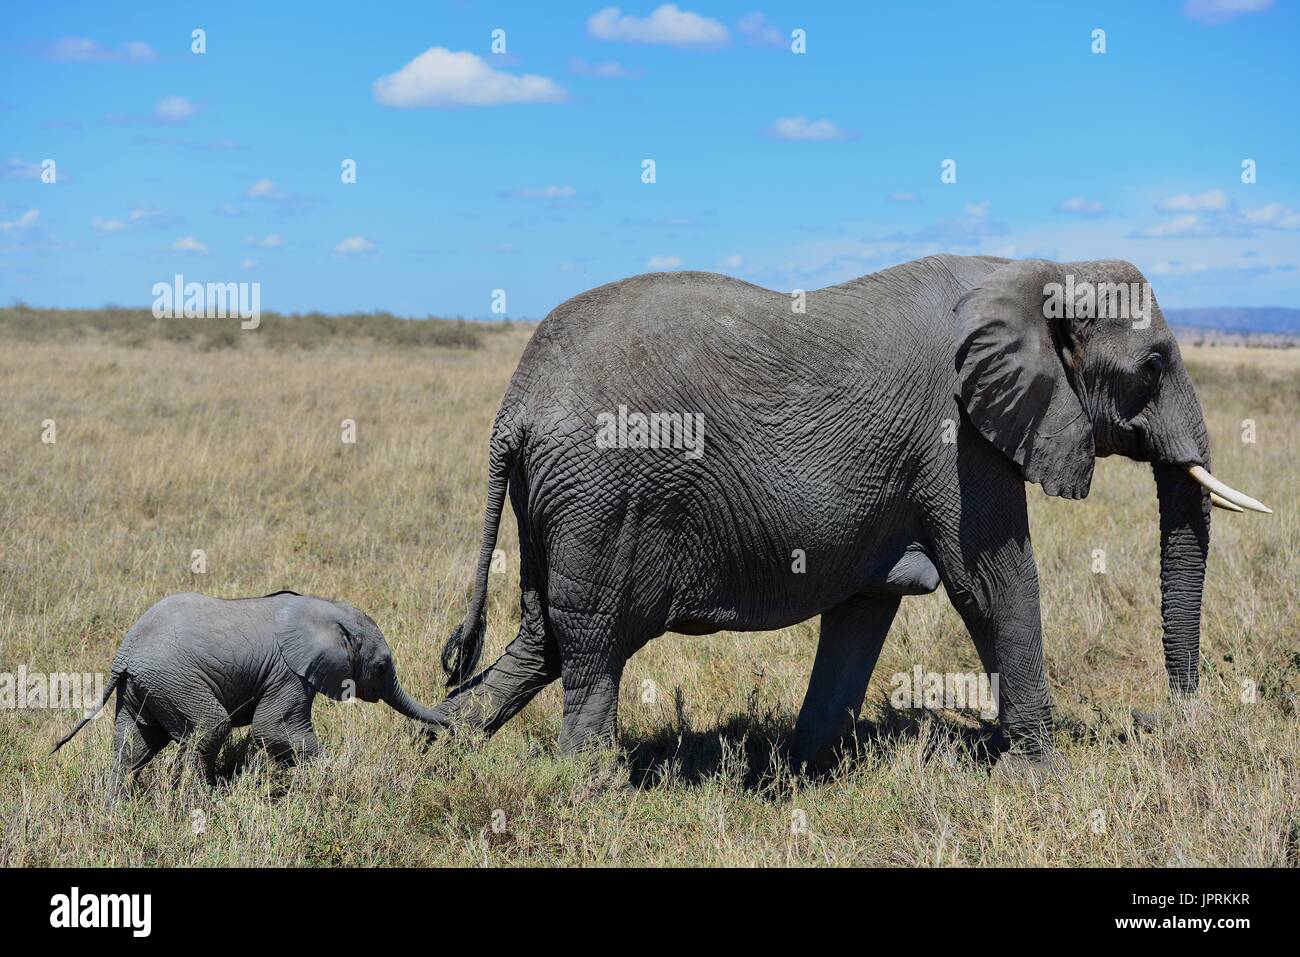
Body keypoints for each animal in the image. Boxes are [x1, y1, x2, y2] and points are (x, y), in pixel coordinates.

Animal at [53, 590, 439, 790]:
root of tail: (125, 652)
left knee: (132, 747)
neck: (325, 609)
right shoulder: (289, 674)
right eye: (382, 667)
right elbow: (274, 730)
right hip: (174, 681)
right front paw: (339, 772)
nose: (429, 738)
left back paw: (115, 812)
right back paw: (202, 804)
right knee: (210, 728)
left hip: (143, 688)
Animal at [426, 254, 1268, 769]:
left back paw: (446, 753)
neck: (1040, 269)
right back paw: (589, 787)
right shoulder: (955, 438)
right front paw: (1045, 776)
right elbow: (994, 582)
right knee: (593, 646)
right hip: (602, 498)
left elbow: (865, 609)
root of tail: (515, 405)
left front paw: (799, 769)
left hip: (562, 504)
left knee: (547, 636)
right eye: (1153, 364)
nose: (1164, 717)